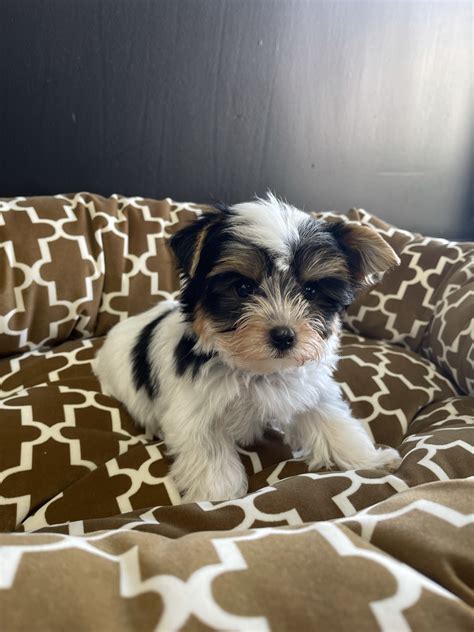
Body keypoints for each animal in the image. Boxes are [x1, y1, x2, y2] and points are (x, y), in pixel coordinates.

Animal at [94, 195, 402, 502]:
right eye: (243, 288)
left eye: (311, 291)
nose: (284, 336)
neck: (256, 370)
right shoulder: (196, 412)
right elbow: (210, 454)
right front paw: (218, 497)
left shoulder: (310, 392)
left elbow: (333, 423)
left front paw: (370, 461)